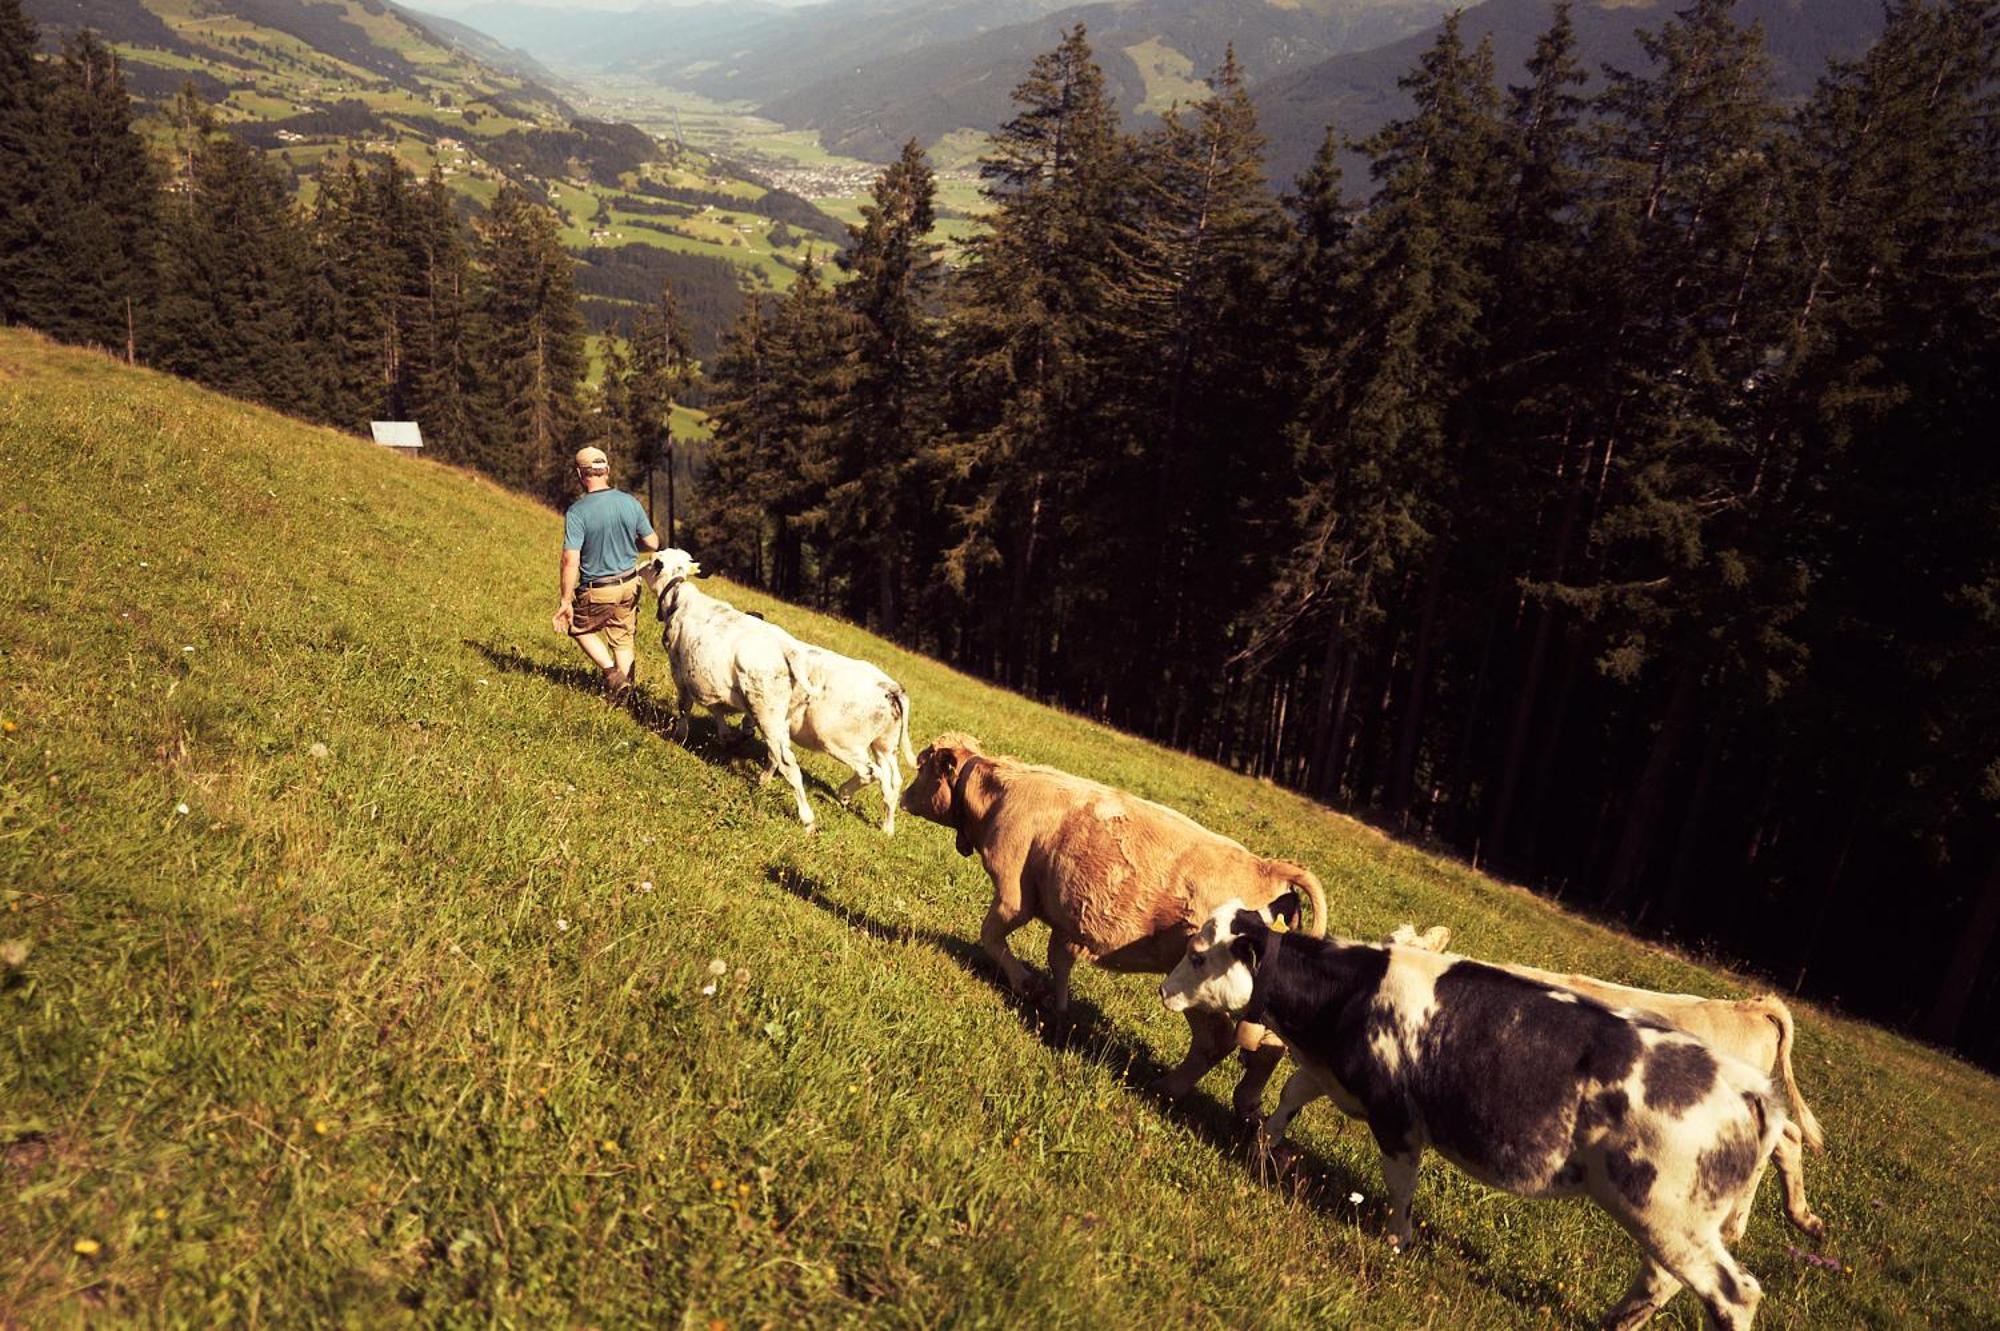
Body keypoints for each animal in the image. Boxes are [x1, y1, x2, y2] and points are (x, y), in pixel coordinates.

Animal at [908, 731, 1328, 1111]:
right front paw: (1058, 1009)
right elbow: (1059, 961)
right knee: (1266, 1047)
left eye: (922, 764)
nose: (904, 796)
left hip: (1200, 987)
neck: (1000, 792)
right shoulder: (1067, 919)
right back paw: (1247, 1104)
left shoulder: (1014, 896)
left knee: (1217, 1041)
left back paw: (1171, 1089)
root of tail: (1267, 866)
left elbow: (993, 937)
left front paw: (1027, 986)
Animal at [1168, 895, 1792, 1319]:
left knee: (1733, 1294)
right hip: (1674, 1225)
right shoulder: (1335, 1072)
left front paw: (1397, 1239)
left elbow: (1401, 1183)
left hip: (1669, 1218)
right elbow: (1290, 1098)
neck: (1352, 992)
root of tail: (1750, 1091)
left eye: (1198, 956)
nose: (1164, 990)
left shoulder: (1396, 1116)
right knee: (1659, 1283)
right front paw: (1264, 1149)